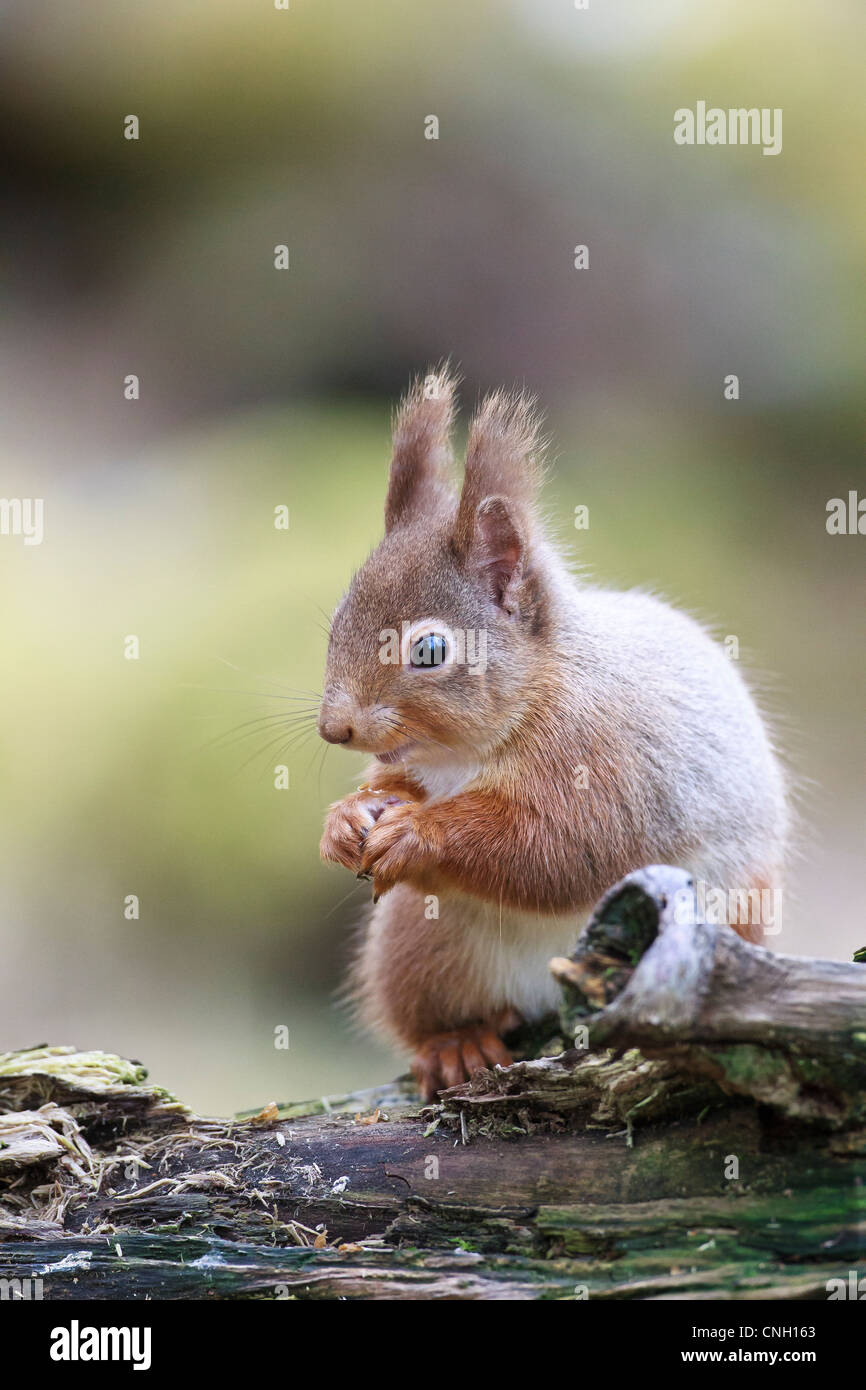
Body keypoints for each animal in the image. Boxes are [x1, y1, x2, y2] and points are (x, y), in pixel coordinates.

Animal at [316, 366, 783, 1095]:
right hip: (417, 942)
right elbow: (392, 785)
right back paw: (456, 1043)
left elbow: (559, 847)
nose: (334, 728)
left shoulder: (608, 759)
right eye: (337, 619)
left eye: (429, 650)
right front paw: (347, 819)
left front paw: (419, 833)